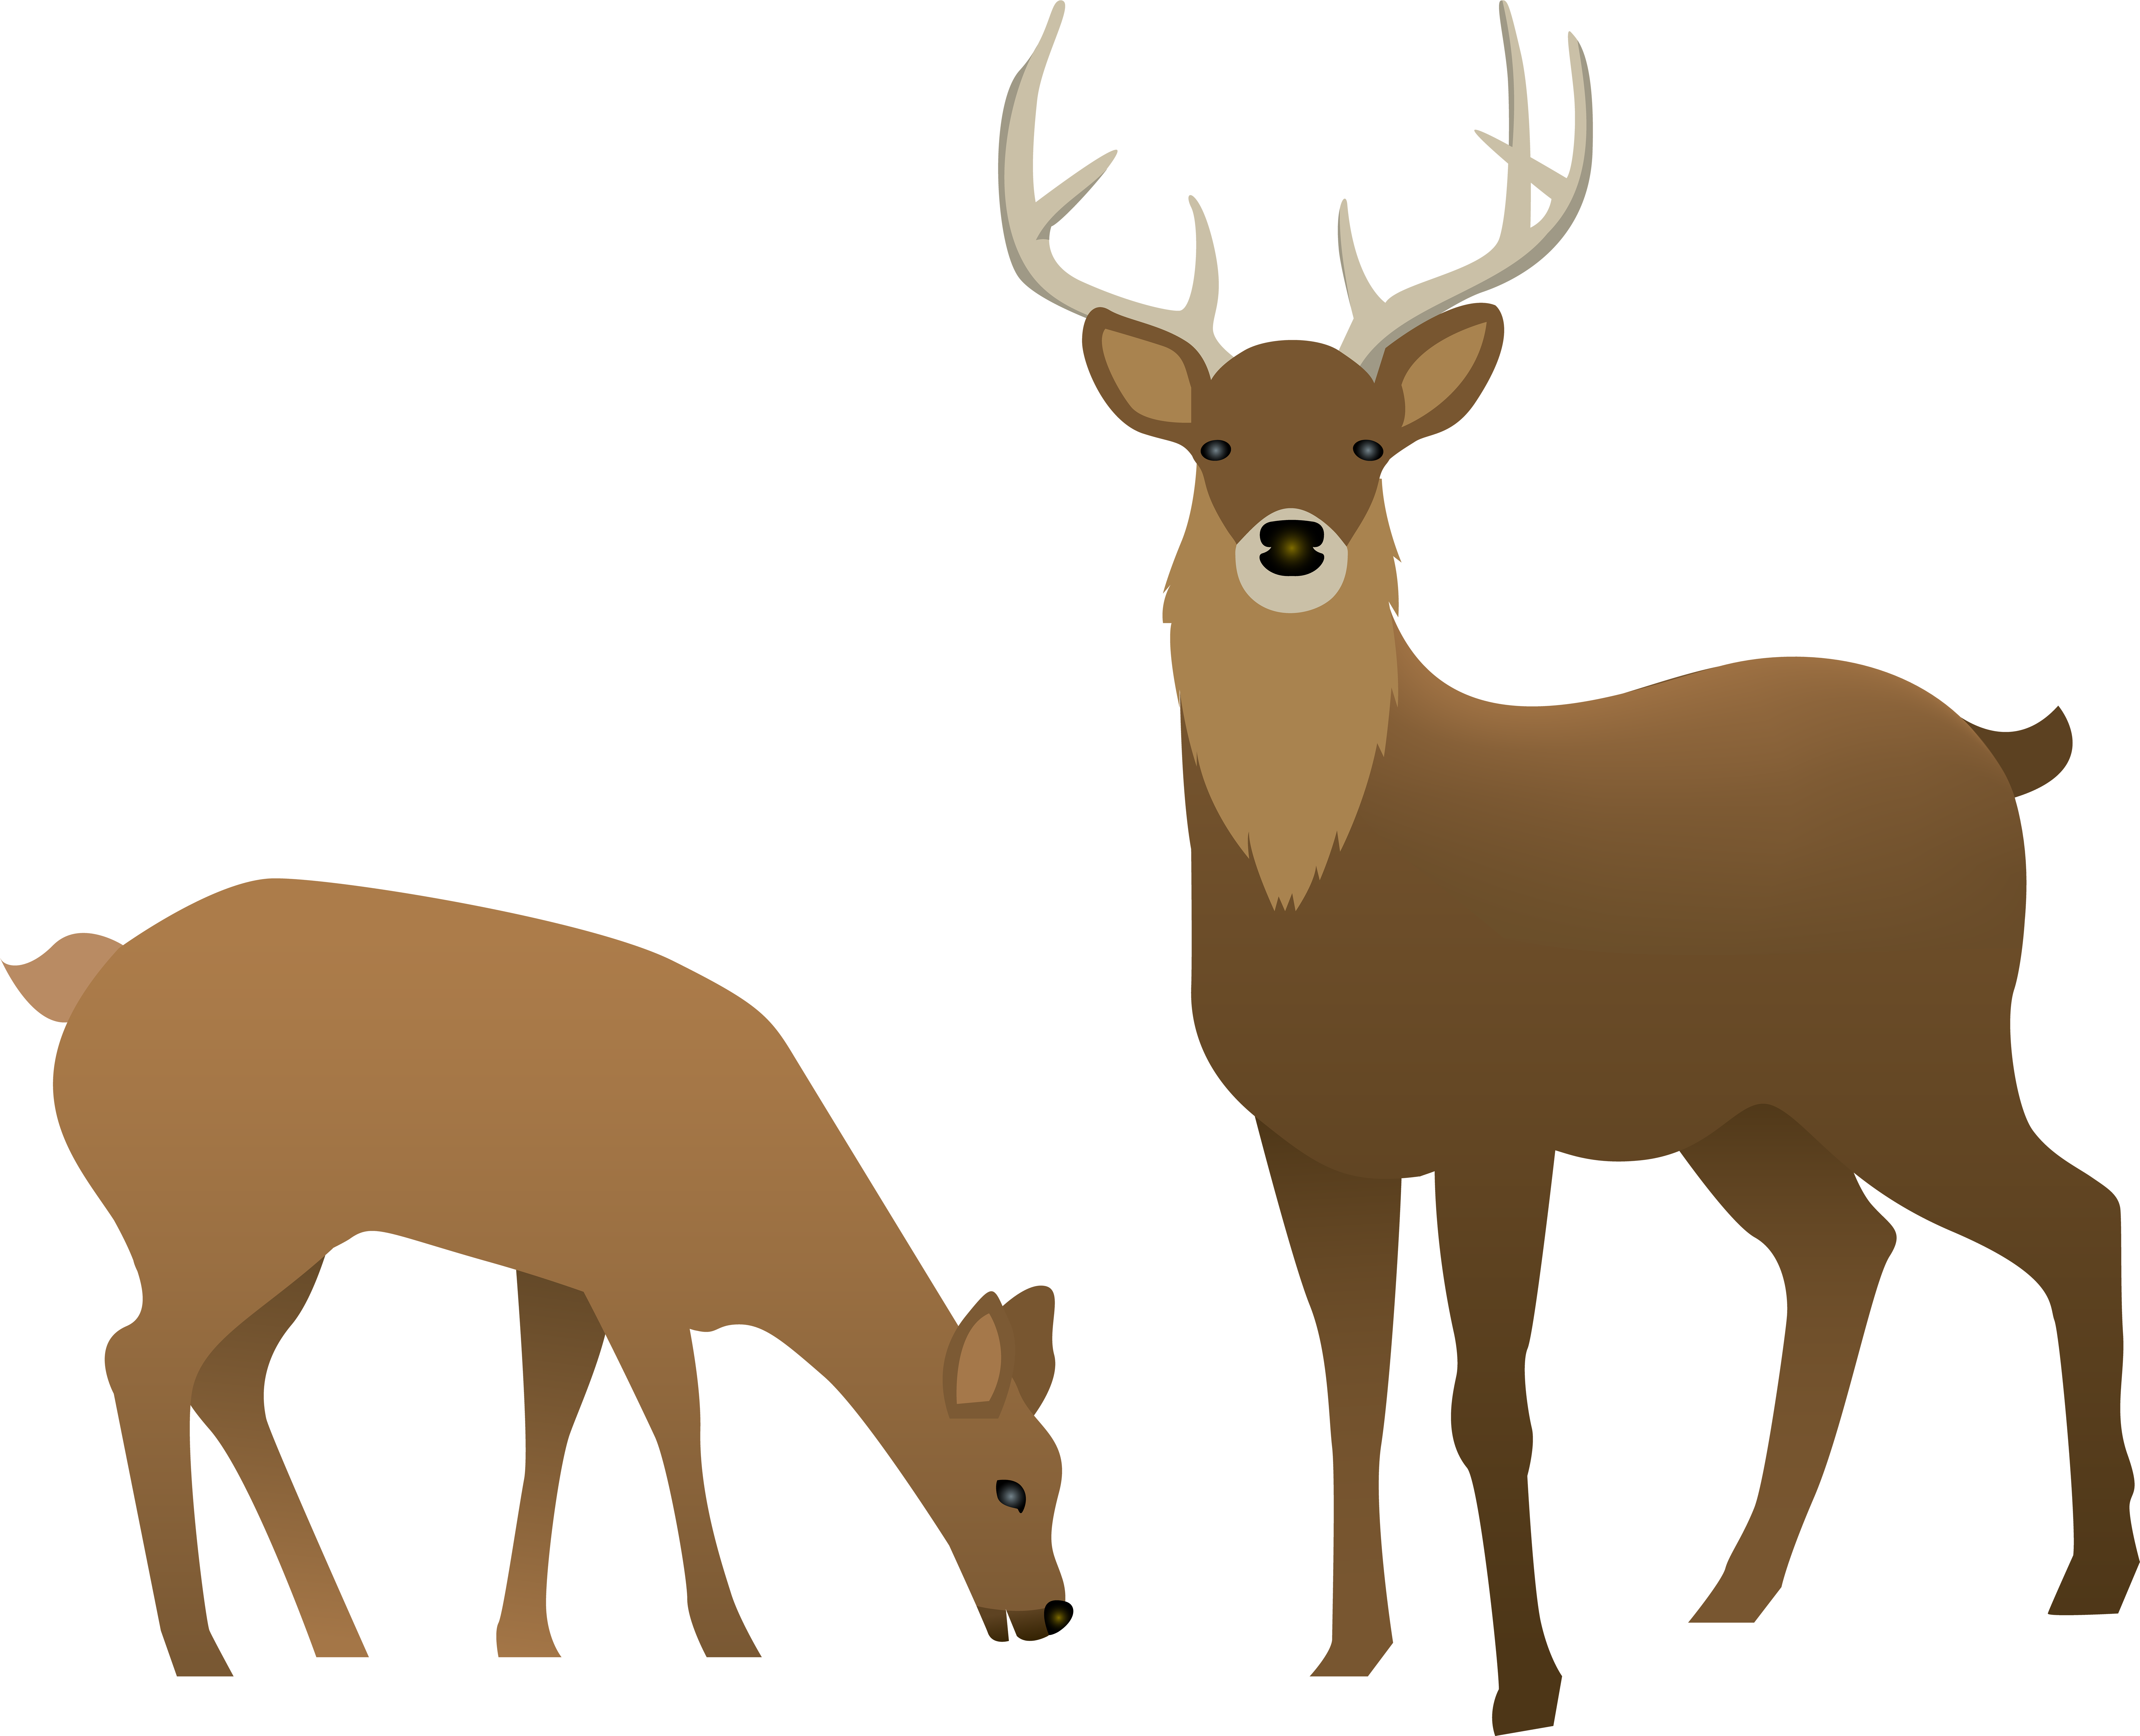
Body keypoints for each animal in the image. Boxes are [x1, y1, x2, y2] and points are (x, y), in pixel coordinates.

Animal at [8, 878, 1068, 1672]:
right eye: (1010, 1488)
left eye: (1059, 1476)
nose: (1051, 1613)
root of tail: (88, 984)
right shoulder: (637, 1280)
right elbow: (676, 1421)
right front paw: (729, 1634)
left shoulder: (563, 1273)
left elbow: (550, 1414)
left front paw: (524, 1637)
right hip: (217, 1231)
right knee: (140, 1357)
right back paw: (200, 1651)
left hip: (275, 1247)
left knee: (224, 1378)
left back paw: (338, 1635)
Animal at [1000, 3, 2131, 1729]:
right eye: (1211, 442)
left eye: (1367, 443)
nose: (1287, 539)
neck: (1336, 878)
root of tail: (1992, 755)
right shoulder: (1305, 1138)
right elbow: (1346, 1383)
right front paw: (1346, 1656)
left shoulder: (1502, 1116)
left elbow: (1488, 1397)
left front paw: (1522, 1692)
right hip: (1752, 1104)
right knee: (1846, 1253)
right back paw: (1730, 1596)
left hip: (1923, 1042)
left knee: (2076, 1214)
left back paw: (2093, 1580)